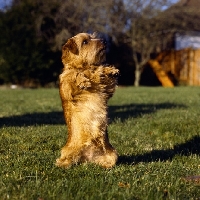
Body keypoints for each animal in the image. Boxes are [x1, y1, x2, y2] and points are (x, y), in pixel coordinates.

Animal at [55, 32, 119, 168]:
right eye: (85, 42)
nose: (104, 41)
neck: (85, 66)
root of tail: (87, 158)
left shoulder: (107, 90)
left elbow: (102, 73)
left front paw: (110, 70)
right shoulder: (66, 87)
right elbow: (74, 74)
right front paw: (83, 80)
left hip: (113, 153)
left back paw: (106, 165)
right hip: (66, 152)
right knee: (64, 160)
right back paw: (63, 164)